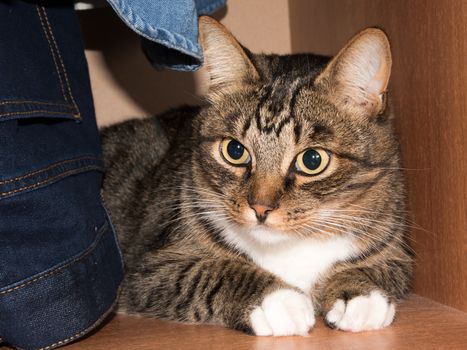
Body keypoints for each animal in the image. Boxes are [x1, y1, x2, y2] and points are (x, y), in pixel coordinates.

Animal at [101, 17, 414, 336]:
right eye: (235, 150)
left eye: (313, 160)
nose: (261, 207)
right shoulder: (146, 272)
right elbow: (205, 272)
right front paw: (280, 300)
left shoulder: (397, 249)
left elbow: (383, 266)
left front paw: (360, 294)